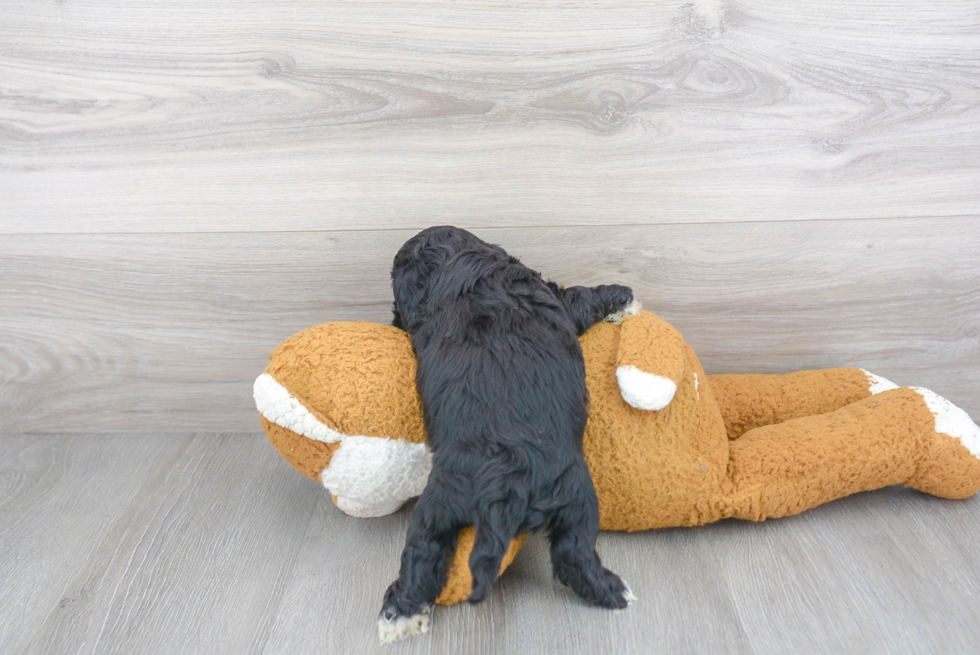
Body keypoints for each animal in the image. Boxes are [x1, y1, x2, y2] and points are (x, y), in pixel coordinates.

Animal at [378, 228, 640, 644]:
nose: (393, 320)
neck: (458, 266)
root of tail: (502, 483)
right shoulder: (558, 298)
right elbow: (583, 297)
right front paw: (626, 298)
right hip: (575, 494)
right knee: (574, 554)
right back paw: (616, 591)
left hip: (444, 502)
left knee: (424, 550)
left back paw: (400, 614)